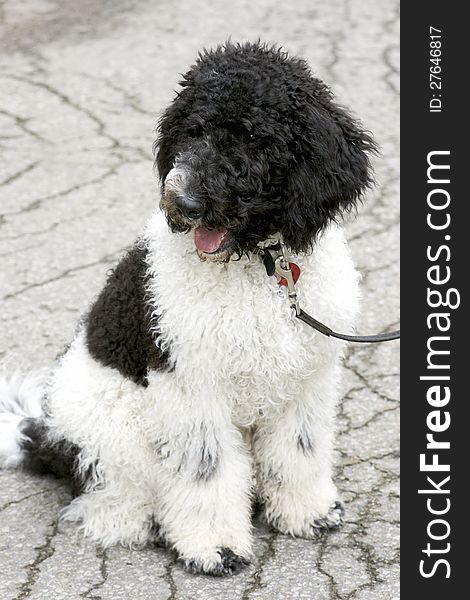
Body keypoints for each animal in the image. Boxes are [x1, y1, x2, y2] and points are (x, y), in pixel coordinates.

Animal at [0, 42, 374, 576]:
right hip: (118, 432)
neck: (259, 267)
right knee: (105, 498)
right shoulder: (192, 388)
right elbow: (206, 470)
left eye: (255, 138)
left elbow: (300, 449)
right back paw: (140, 522)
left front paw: (307, 512)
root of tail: (45, 435)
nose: (184, 202)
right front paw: (214, 546)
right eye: (193, 131)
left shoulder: (305, 380)